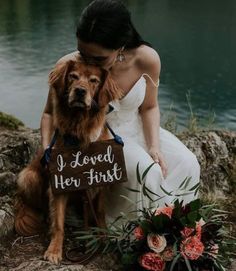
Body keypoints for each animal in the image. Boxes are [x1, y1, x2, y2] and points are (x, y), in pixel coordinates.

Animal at [15, 56, 122, 264]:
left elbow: (100, 213)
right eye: (73, 76)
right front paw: (54, 250)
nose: (80, 91)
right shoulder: (59, 184)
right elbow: (58, 224)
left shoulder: (100, 181)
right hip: (27, 177)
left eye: (94, 81)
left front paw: (103, 237)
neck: (79, 129)